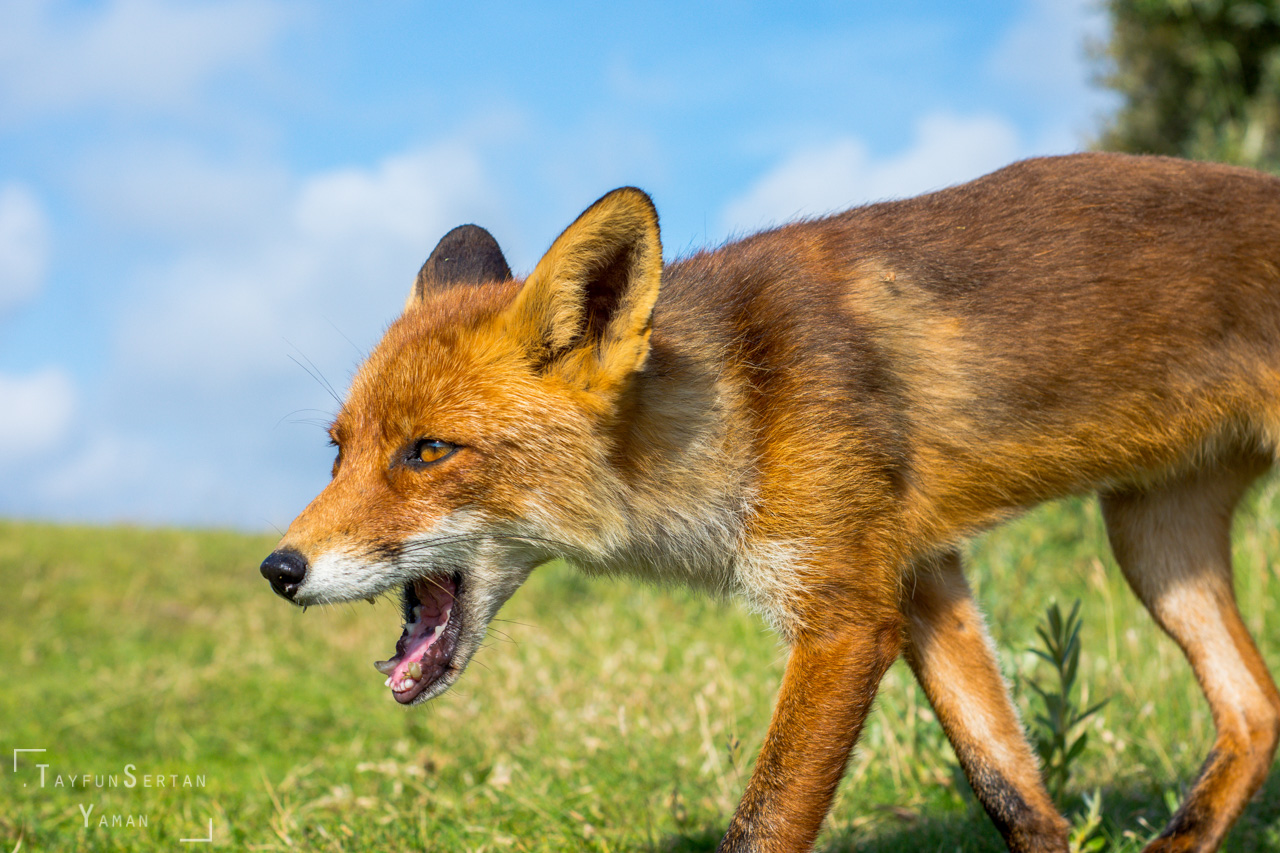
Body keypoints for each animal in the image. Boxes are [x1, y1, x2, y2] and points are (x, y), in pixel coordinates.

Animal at [261, 152, 1280, 853]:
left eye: (429, 451)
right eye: (339, 452)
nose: (278, 568)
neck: (741, 403)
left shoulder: (844, 617)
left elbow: (766, 821)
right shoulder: (919, 578)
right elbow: (1010, 789)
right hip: (1153, 540)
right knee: (1256, 706)